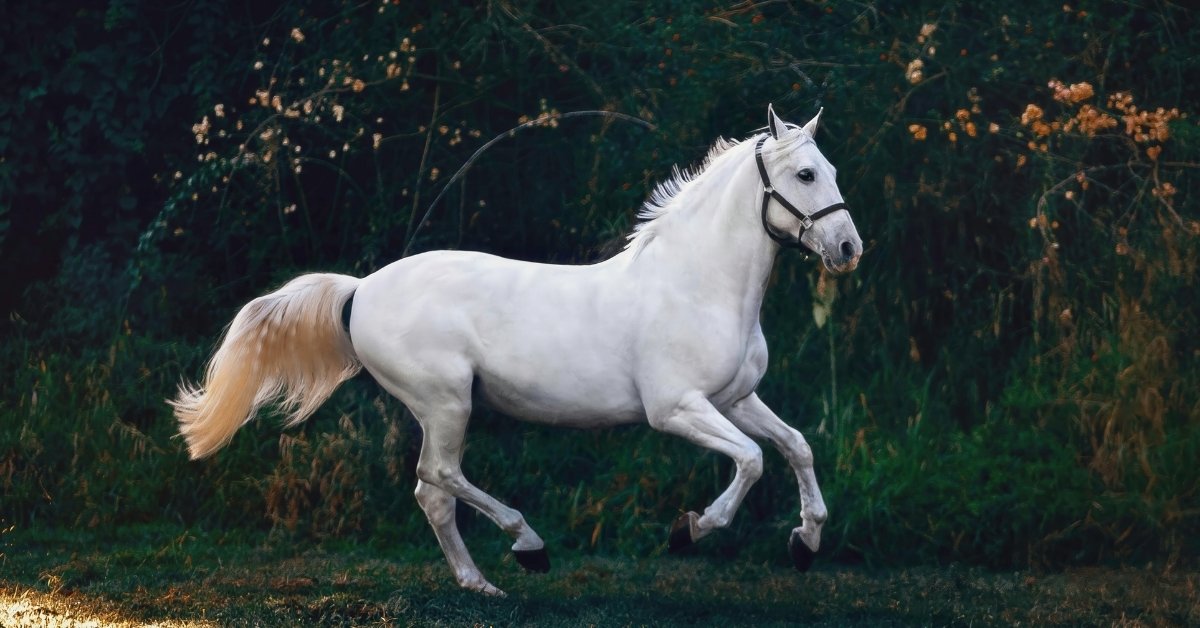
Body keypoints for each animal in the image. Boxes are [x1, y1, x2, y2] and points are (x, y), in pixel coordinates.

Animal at [172, 104, 862, 596]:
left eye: (832, 171)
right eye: (805, 174)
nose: (848, 249)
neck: (698, 285)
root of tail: (361, 288)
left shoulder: (736, 398)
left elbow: (796, 446)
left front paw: (805, 542)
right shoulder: (677, 409)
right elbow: (751, 460)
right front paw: (689, 531)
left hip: (443, 408)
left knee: (432, 493)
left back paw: (480, 584)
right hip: (446, 402)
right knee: (439, 477)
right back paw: (528, 546)